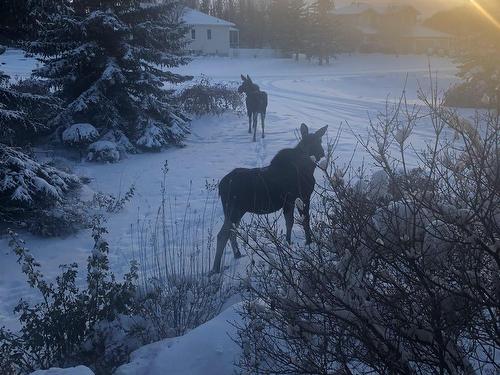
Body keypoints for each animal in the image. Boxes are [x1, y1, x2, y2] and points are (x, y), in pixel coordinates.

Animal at [211, 123, 328, 274]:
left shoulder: (289, 202)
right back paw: (215, 268)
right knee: (222, 235)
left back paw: (237, 254)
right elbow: (303, 221)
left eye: (320, 140)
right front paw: (308, 242)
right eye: (312, 142)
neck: (308, 168)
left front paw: (288, 243)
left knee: (232, 232)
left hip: (237, 211)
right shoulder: (301, 197)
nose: (322, 153)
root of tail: (220, 187)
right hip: (234, 210)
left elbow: (290, 222)